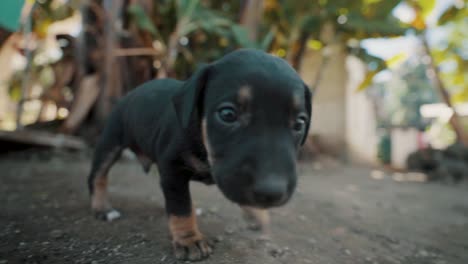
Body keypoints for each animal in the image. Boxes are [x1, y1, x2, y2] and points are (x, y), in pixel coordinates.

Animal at [88, 48, 314, 260]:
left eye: (299, 123)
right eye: (227, 114)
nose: (272, 192)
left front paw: (257, 214)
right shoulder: (173, 169)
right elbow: (181, 206)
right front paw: (189, 239)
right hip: (111, 141)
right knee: (98, 176)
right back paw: (102, 208)